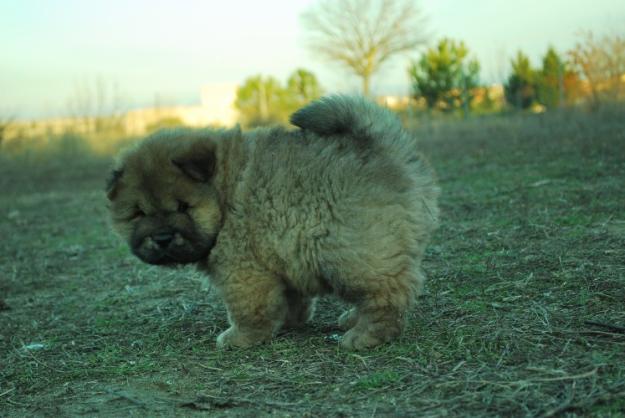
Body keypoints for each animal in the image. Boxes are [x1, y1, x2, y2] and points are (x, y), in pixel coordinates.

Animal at [106, 95, 438, 350]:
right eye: (138, 214)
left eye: (182, 207)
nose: (162, 238)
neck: (224, 193)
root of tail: (386, 148)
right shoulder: (280, 256)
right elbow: (290, 298)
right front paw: (289, 322)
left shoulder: (242, 269)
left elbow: (248, 309)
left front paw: (240, 338)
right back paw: (352, 320)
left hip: (354, 253)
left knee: (387, 295)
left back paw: (364, 336)